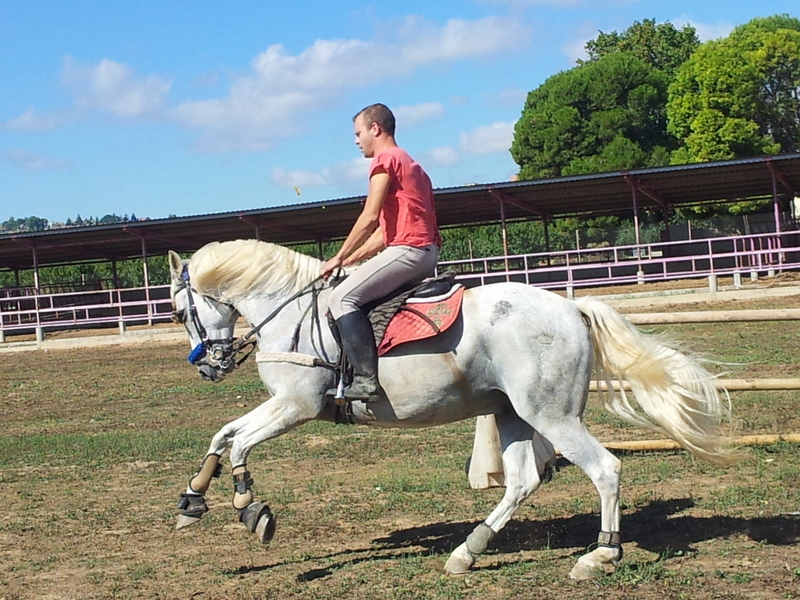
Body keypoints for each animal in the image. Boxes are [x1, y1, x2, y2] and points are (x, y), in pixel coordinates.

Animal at [167, 239, 735, 580]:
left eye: (176, 310)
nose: (208, 367)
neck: (291, 314)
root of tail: (571, 306)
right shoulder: (284, 405)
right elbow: (222, 435)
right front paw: (191, 502)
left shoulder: (296, 405)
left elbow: (239, 443)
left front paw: (251, 510)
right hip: (513, 414)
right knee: (522, 482)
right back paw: (468, 551)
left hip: (552, 417)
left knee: (605, 469)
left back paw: (600, 554)